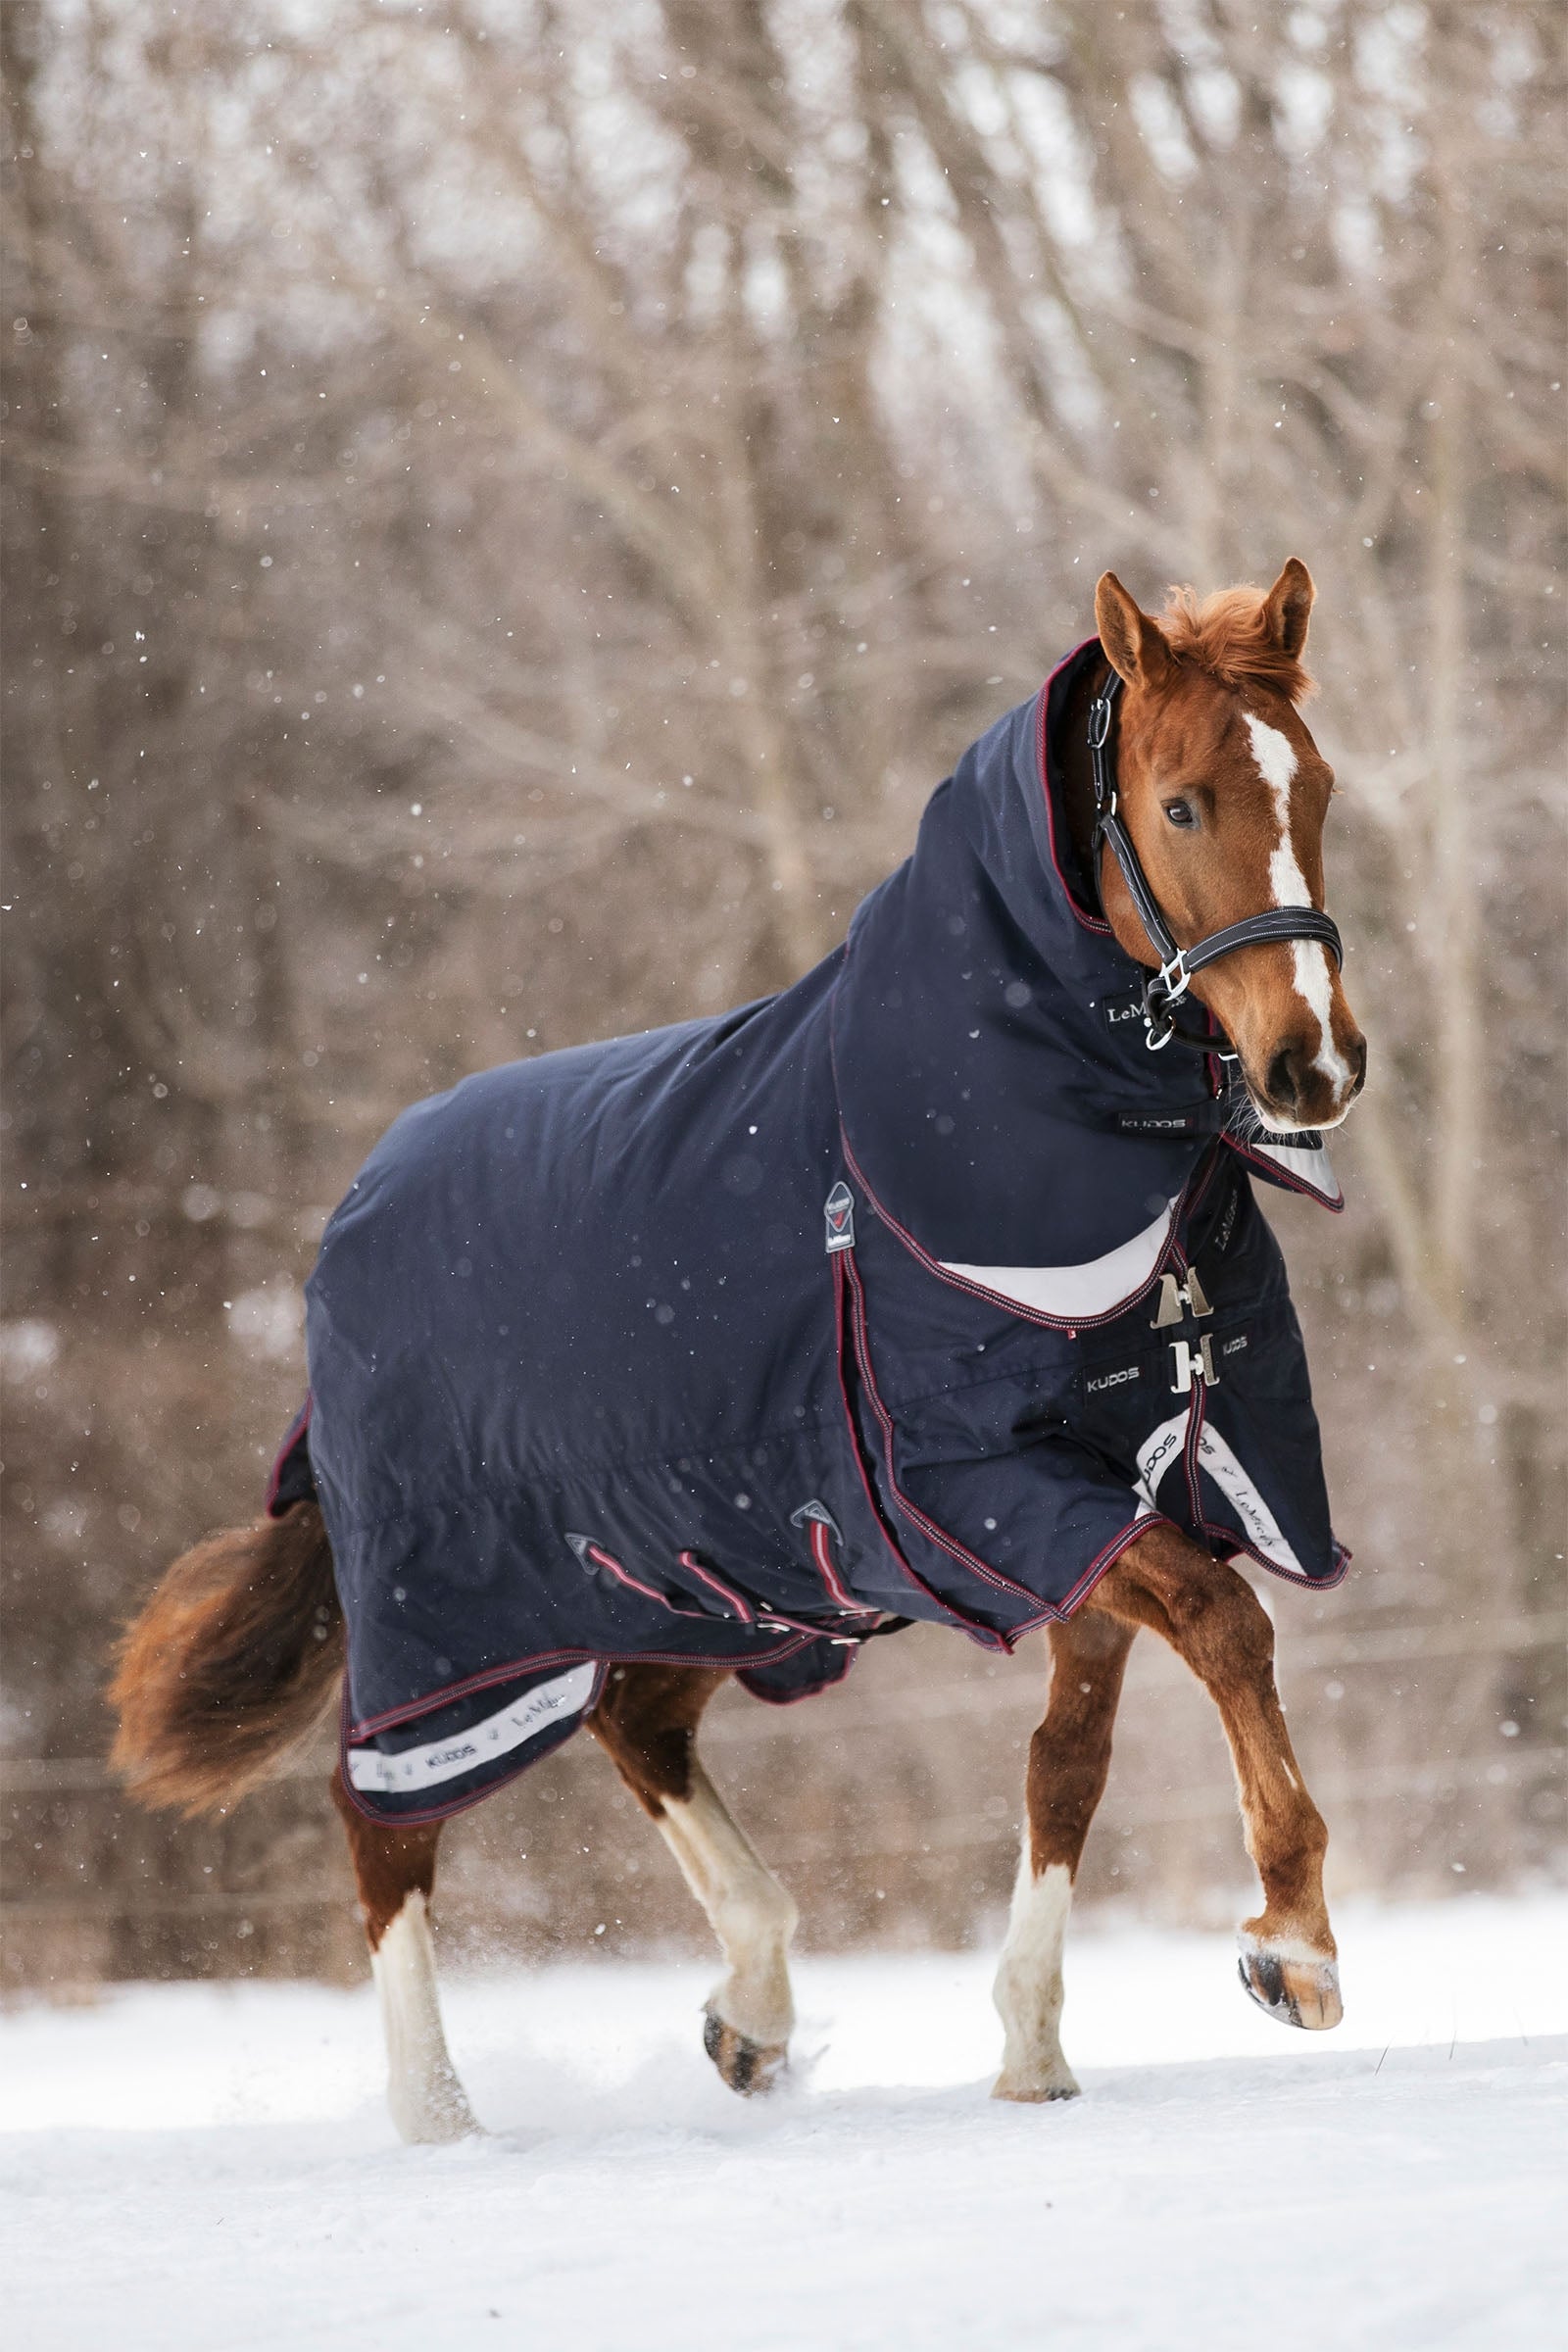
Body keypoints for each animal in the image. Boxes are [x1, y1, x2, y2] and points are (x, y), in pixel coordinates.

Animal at [111, 561, 1366, 2141]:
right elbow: (1229, 1627)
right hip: (461, 1629)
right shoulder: (999, 1493)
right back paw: (440, 2115)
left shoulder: (1119, 1497)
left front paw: (1032, 2050)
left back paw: (749, 2017)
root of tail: (347, 1221)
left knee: (638, 1729)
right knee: (381, 1822)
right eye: (1185, 805)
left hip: (714, 1586)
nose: (1314, 1066)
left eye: (1315, 785)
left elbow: (1066, 1769)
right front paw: (1295, 1952)